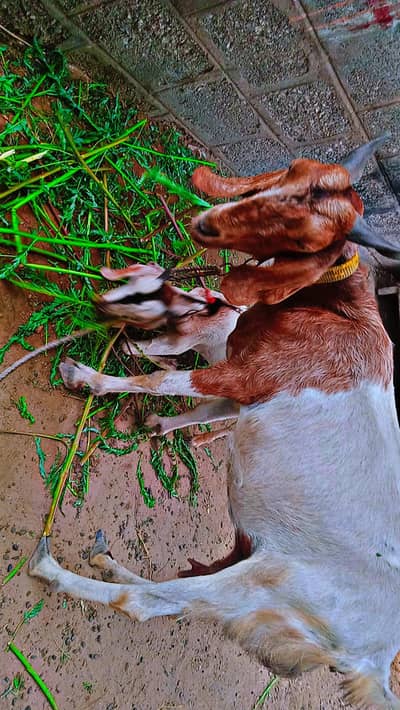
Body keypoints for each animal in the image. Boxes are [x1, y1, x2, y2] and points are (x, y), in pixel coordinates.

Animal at [30, 135, 400, 708]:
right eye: (286, 175)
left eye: (305, 238)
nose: (207, 224)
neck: (339, 311)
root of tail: (376, 662)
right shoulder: (242, 391)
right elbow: (195, 407)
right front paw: (155, 425)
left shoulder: (247, 375)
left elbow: (161, 381)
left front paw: (89, 378)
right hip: (250, 567)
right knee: (174, 594)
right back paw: (106, 560)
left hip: (264, 583)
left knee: (148, 604)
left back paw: (50, 567)